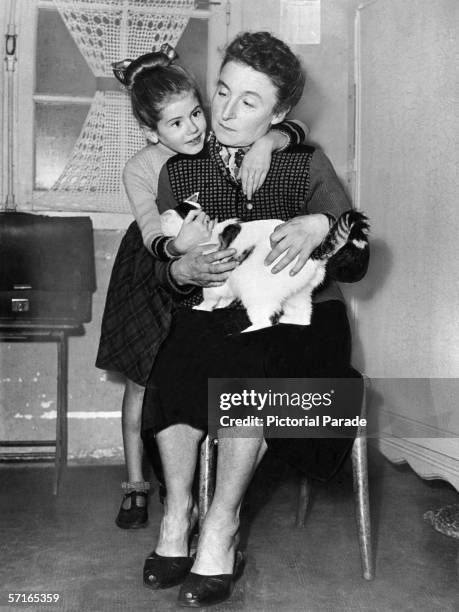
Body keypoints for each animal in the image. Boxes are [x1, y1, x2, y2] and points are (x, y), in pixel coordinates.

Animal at [162, 203, 370, 332]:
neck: (210, 233)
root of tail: (313, 254)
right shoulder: (226, 280)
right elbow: (225, 296)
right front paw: (221, 305)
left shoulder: (213, 278)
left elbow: (209, 298)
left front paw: (203, 307)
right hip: (298, 295)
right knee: (303, 317)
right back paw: (291, 323)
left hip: (255, 294)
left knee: (265, 322)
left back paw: (245, 331)